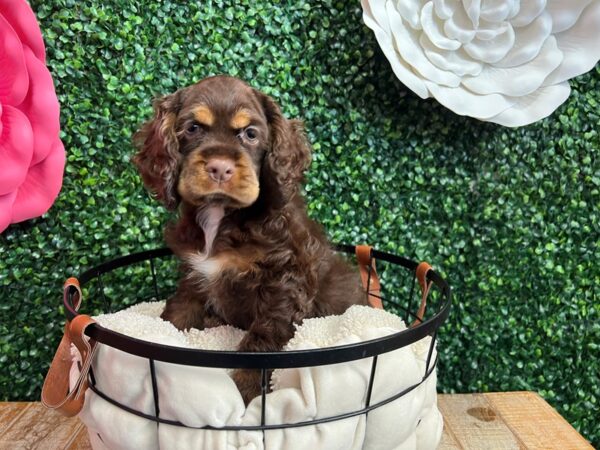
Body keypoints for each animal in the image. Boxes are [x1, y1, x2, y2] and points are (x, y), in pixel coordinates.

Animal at [132, 75, 366, 402]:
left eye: (250, 133)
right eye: (193, 128)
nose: (219, 168)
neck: (221, 216)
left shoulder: (284, 281)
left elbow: (264, 338)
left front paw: (246, 386)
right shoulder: (194, 273)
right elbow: (179, 311)